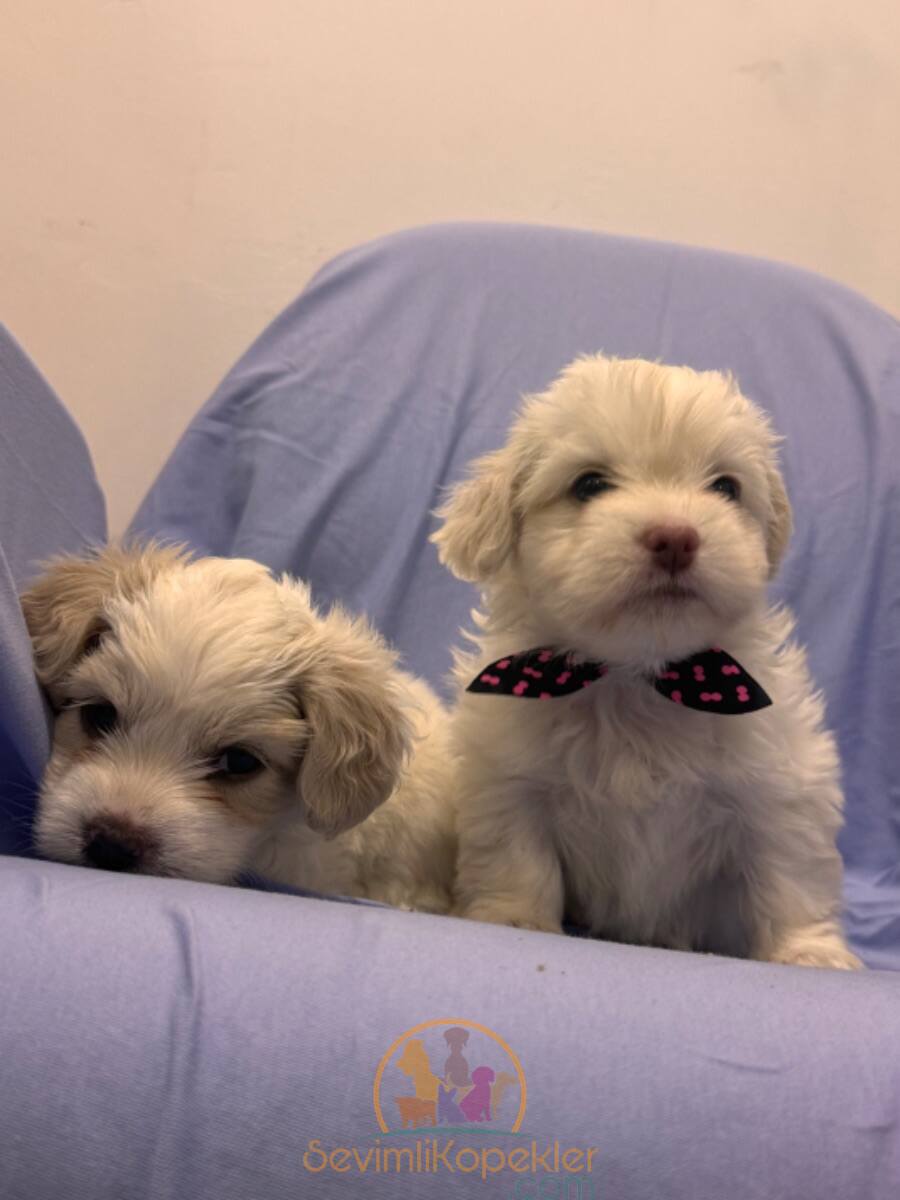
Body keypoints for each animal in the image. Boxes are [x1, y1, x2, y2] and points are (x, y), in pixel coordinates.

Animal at [436, 352, 868, 964]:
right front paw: (513, 919)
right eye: (589, 484)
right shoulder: (508, 783)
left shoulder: (781, 789)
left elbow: (789, 876)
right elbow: (517, 858)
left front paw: (807, 952)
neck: (636, 677)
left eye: (726, 487)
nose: (675, 537)